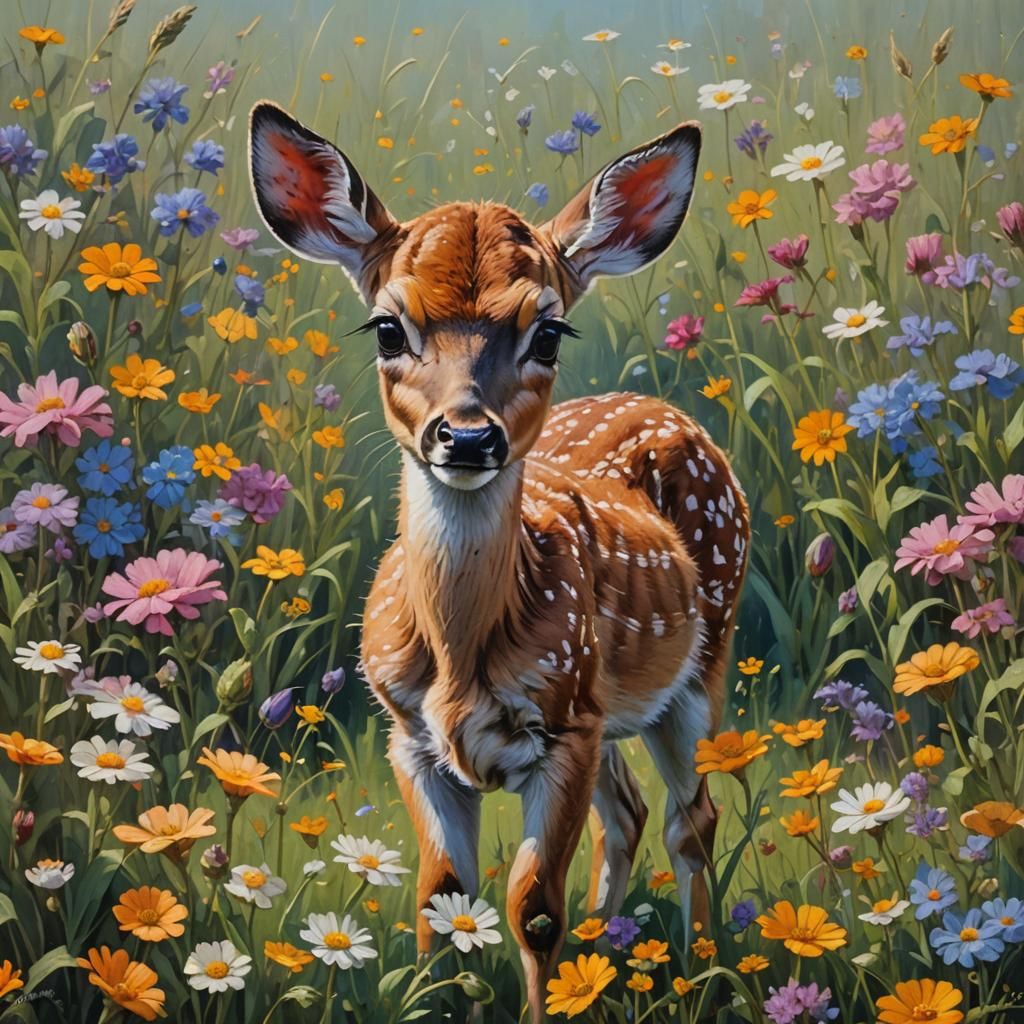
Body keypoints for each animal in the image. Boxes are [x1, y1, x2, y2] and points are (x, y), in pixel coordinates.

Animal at [249, 101, 749, 1021]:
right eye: (388, 326)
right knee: (628, 813)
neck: (460, 653)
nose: (467, 435)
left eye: (547, 331)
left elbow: (532, 910)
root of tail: (666, 409)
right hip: (610, 707)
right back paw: (612, 949)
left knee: (691, 818)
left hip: (698, 669)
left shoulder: (563, 732)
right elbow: (442, 897)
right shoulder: (409, 737)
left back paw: (699, 965)